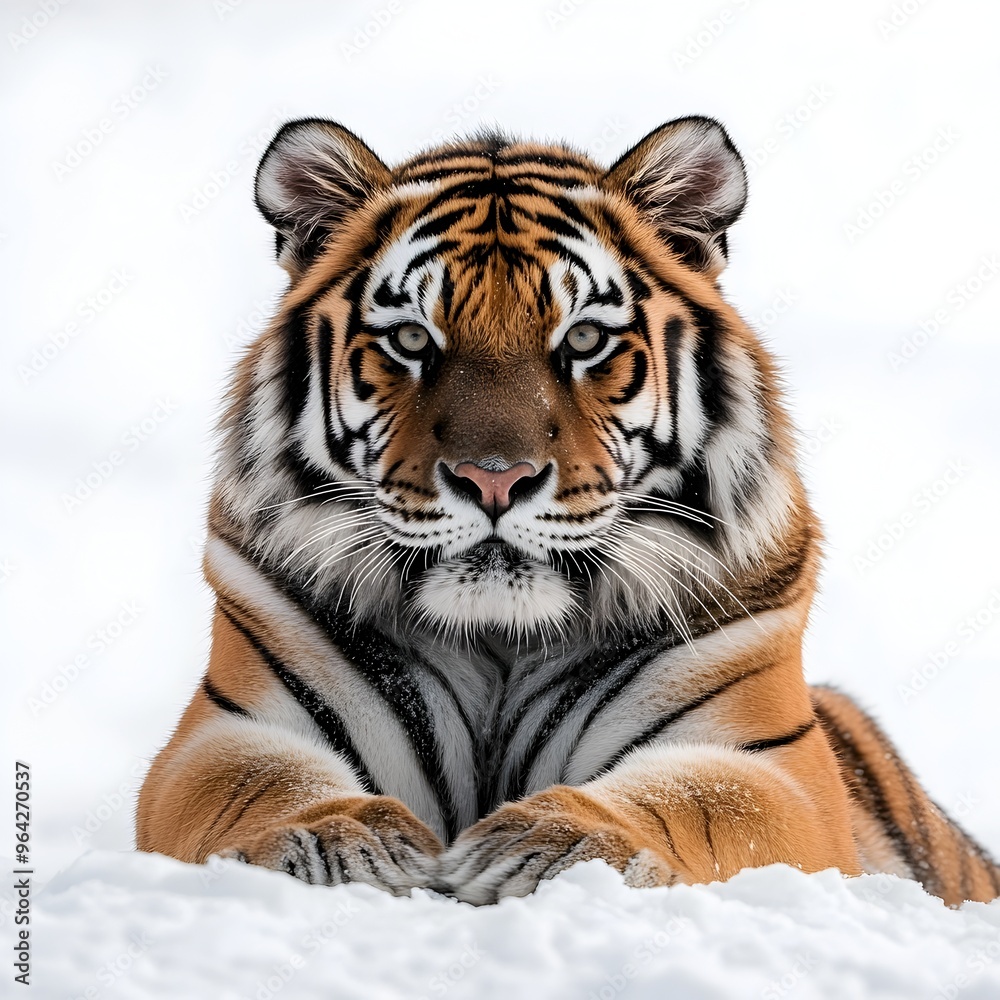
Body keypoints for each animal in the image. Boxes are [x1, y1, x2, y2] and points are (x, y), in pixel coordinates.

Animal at [135, 115, 1000, 907]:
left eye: (583, 340)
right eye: (412, 339)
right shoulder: (230, 730)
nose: (493, 479)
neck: (498, 639)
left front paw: (548, 843)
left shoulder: (763, 759)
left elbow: (693, 800)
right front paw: (342, 843)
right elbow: (266, 785)